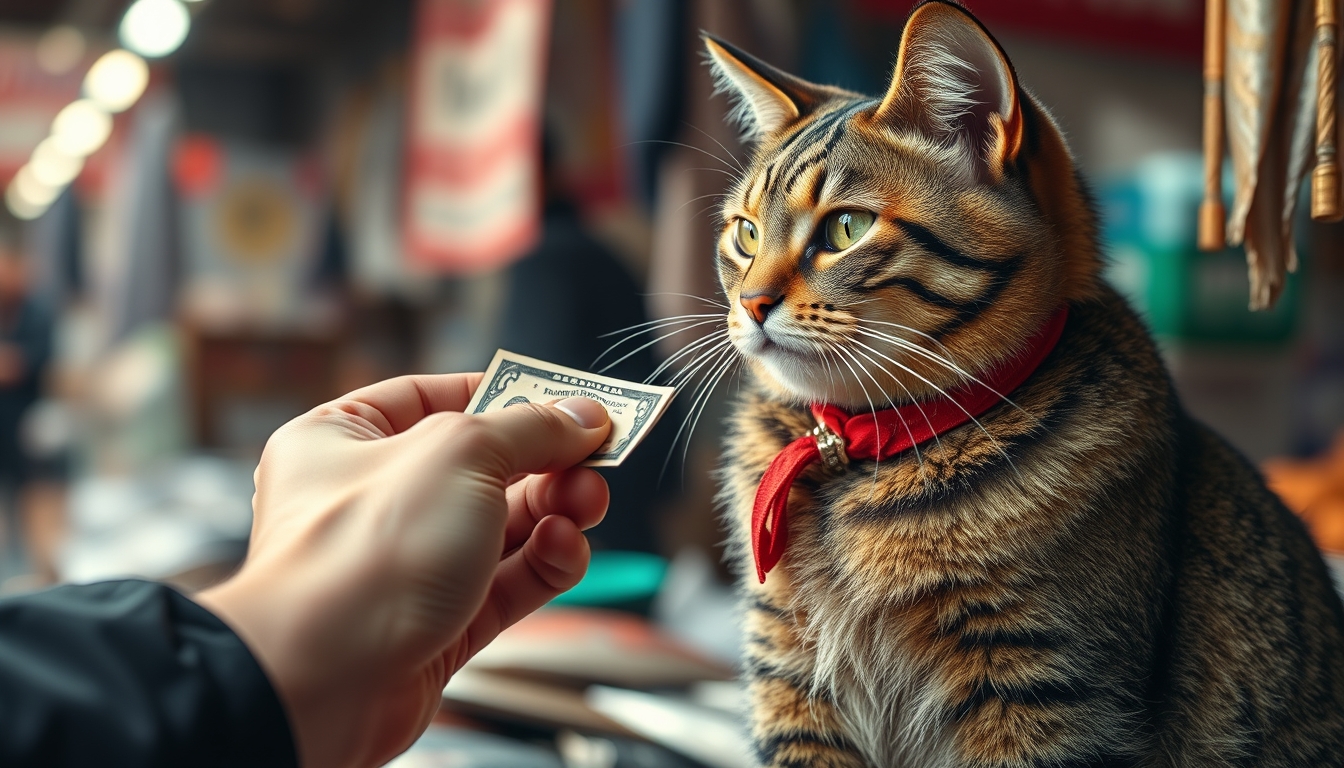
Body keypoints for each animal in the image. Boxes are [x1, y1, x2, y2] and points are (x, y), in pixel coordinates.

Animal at [698, 3, 1344, 763]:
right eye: (744, 234)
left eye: (846, 228)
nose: (750, 304)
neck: (853, 456)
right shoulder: (789, 683)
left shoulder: (1040, 691)